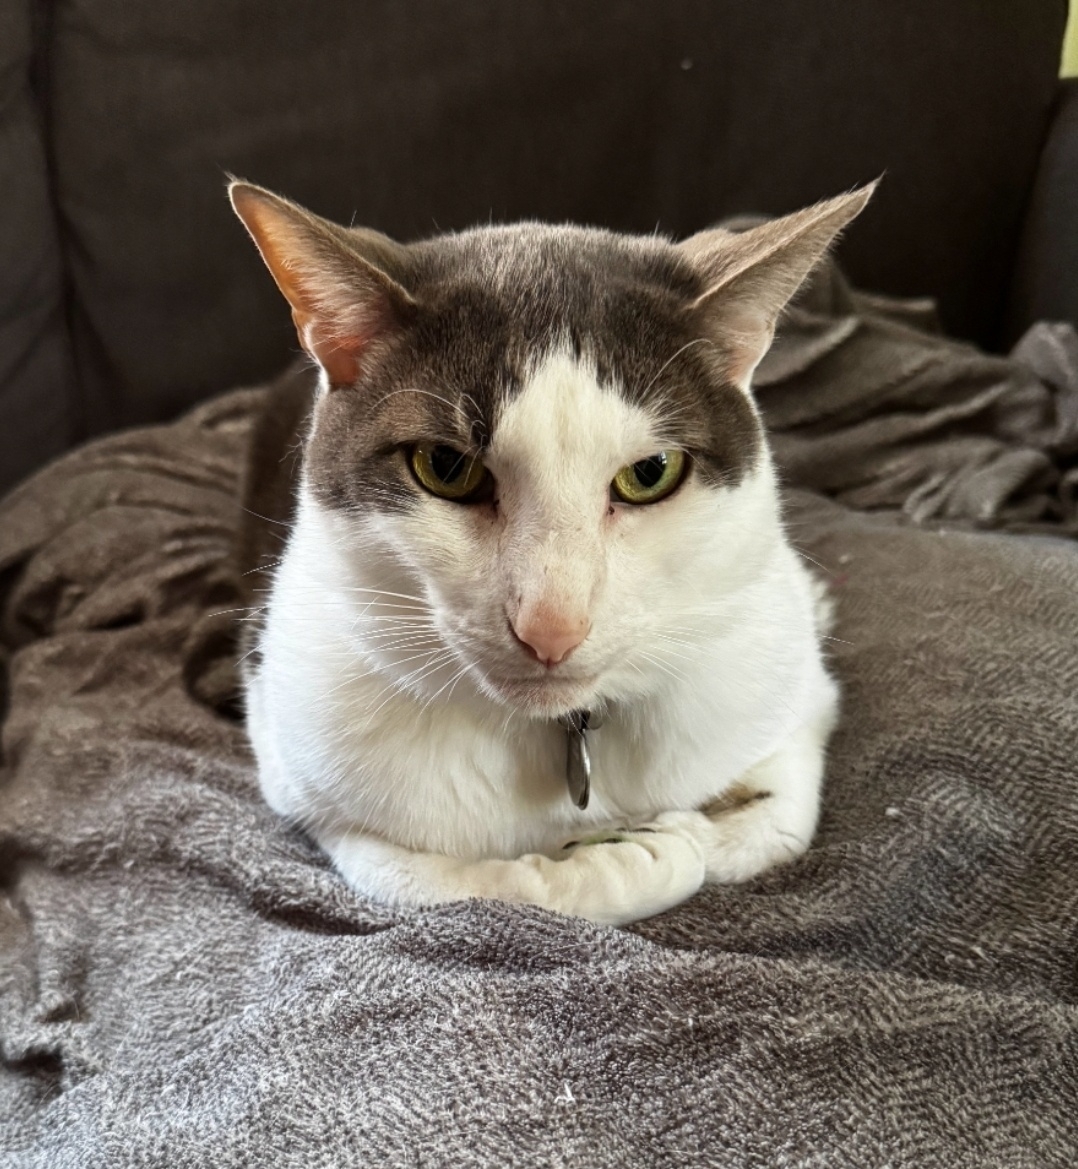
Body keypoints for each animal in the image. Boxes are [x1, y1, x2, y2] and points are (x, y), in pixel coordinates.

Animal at [229, 177, 874, 925]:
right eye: (446, 467)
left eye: (650, 472)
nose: (551, 627)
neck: (565, 732)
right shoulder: (304, 768)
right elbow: (452, 882)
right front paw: (629, 852)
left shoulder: (787, 685)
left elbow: (778, 816)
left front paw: (673, 830)